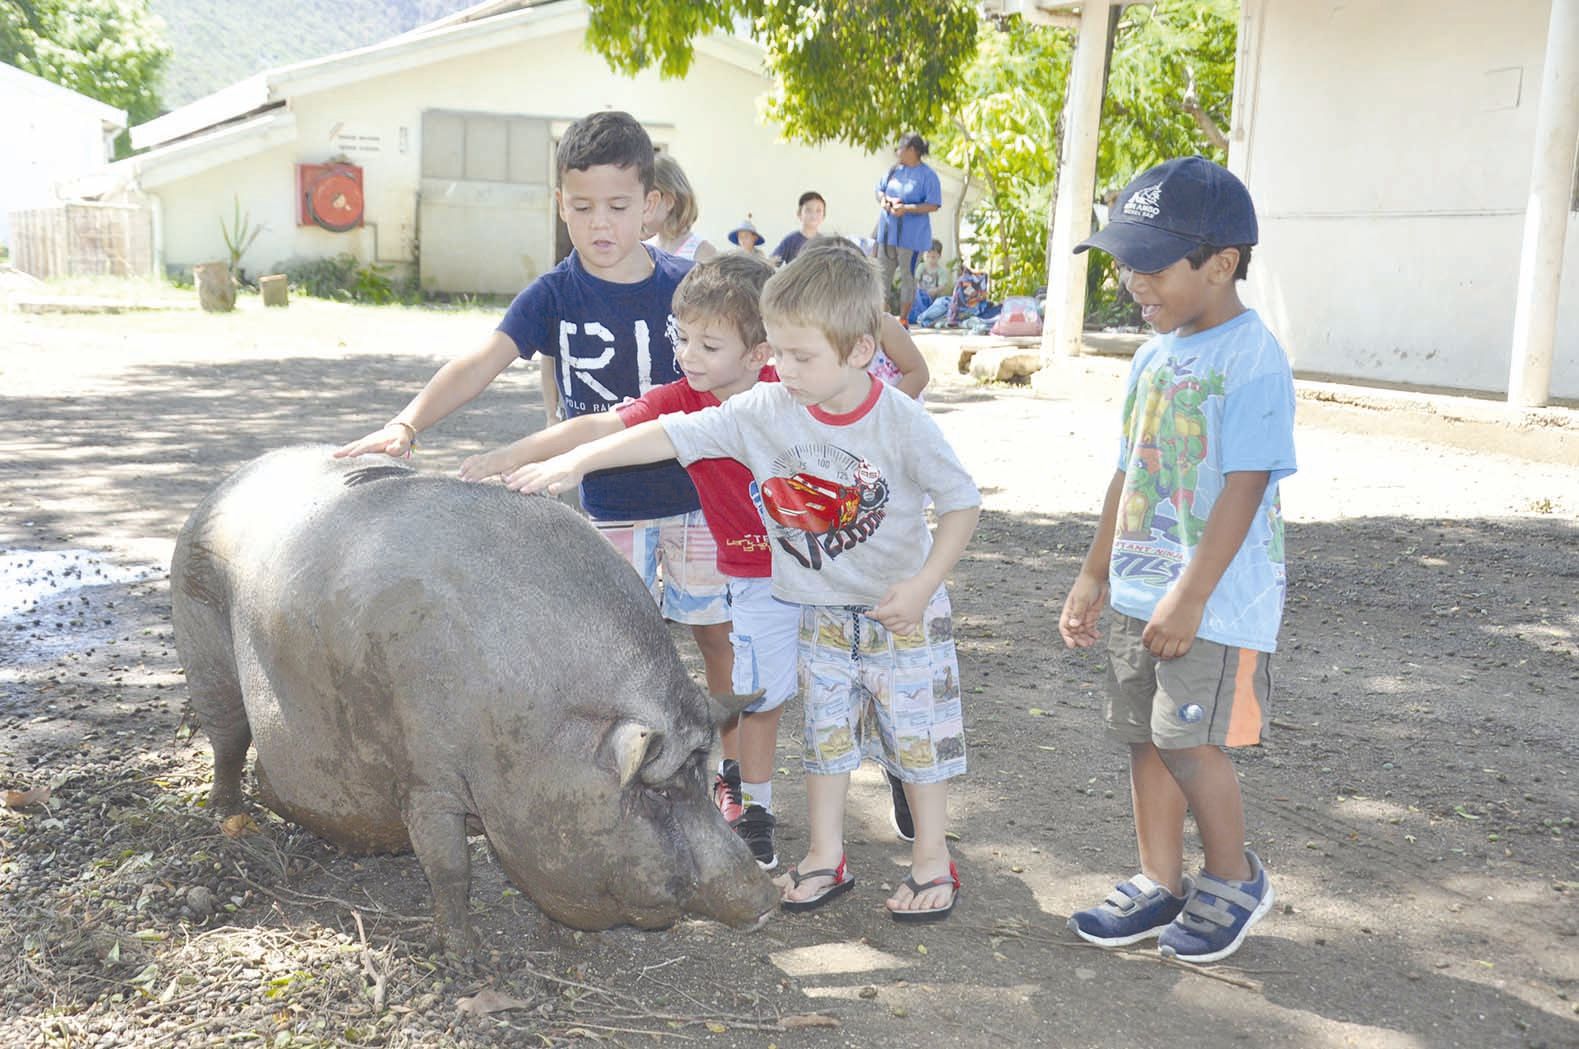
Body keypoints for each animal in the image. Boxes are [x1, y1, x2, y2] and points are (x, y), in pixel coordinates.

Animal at [171, 445, 776, 947]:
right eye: (661, 793)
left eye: (702, 774)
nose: (766, 899)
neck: (542, 731)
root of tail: (223, 485)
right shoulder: (424, 778)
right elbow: (449, 869)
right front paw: (465, 957)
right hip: (203, 651)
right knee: (226, 741)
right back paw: (230, 817)